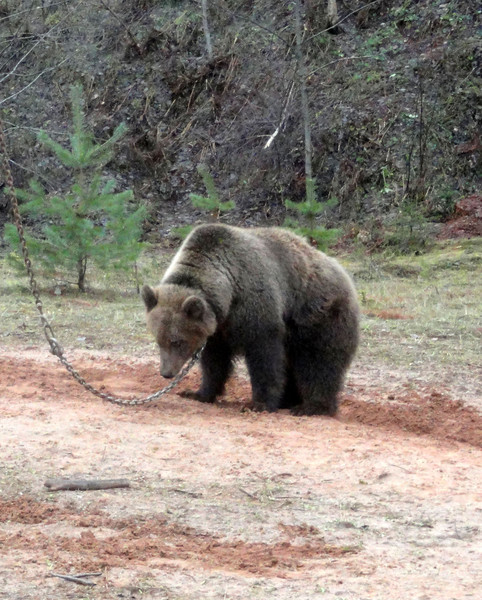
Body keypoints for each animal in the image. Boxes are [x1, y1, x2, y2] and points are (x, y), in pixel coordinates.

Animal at [141, 223, 359, 415]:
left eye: (177, 341)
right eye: (159, 340)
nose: (166, 373)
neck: (227, 294)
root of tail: (345, 276)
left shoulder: (255, 307)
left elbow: (264, 356)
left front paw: (260, 403)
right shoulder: (217, 329)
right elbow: (214, 361)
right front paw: (198, 393)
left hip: (318, 317)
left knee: (319, 362)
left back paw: (311, 407)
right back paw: (289, 401)